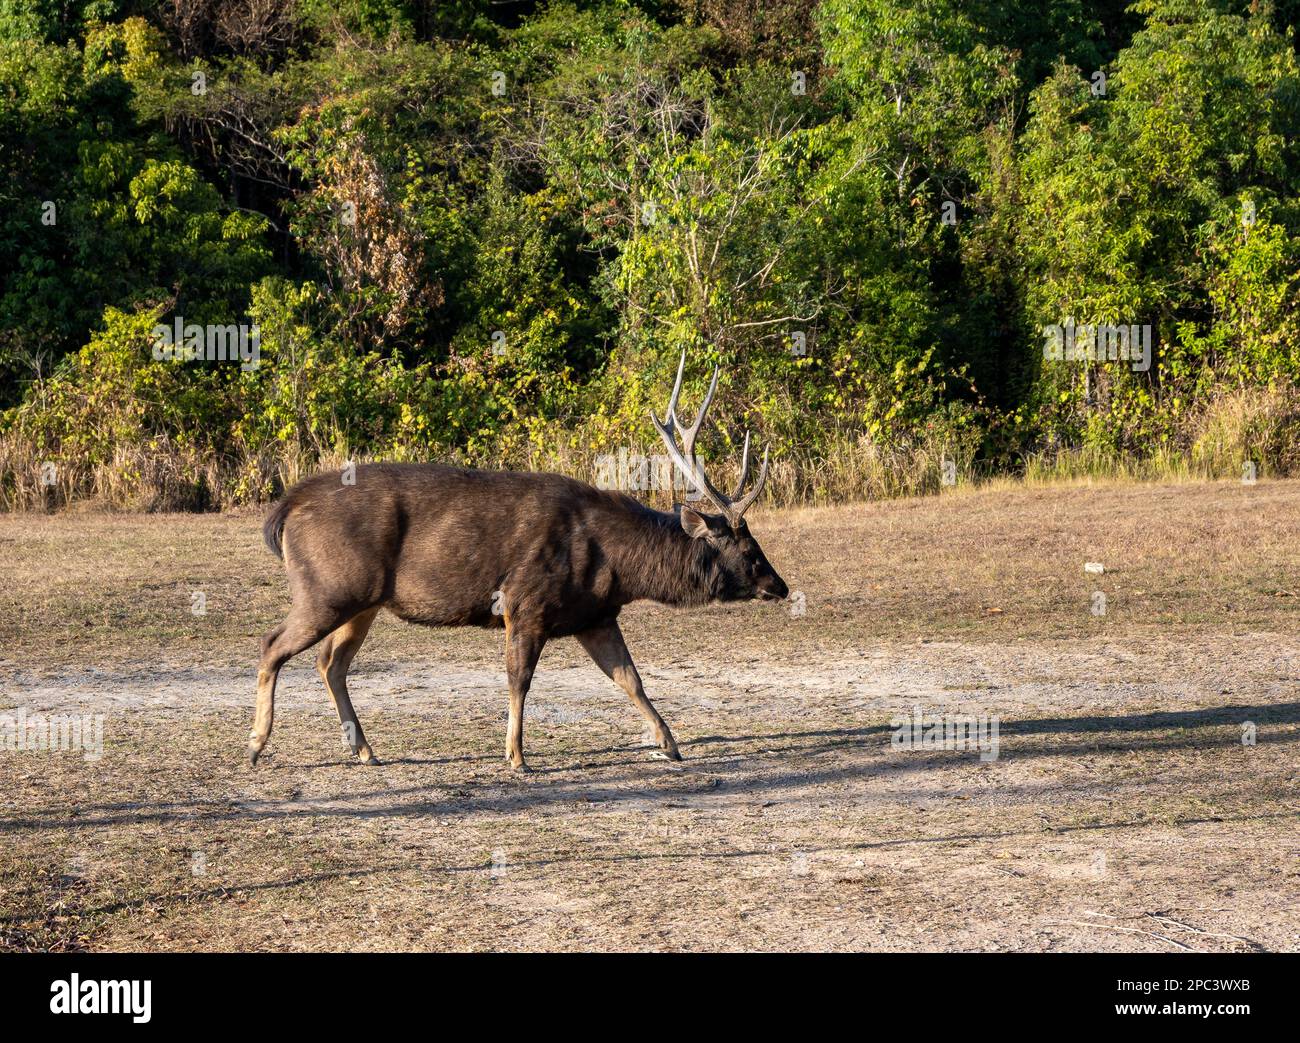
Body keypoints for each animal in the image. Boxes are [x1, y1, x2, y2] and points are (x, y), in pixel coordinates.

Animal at [248, 353, 785, 769]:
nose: (779, 586)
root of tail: (285, 509)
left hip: (361, 600)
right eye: (748, 549)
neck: (616, 566)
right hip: (328, 587)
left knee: (330, 661)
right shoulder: (526, 603)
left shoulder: (595, 615)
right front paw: (517, 756)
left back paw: (364, 750)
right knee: (273, 644)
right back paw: (256, 746)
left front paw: (669, 743)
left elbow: (629, 678)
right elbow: (519, 680)